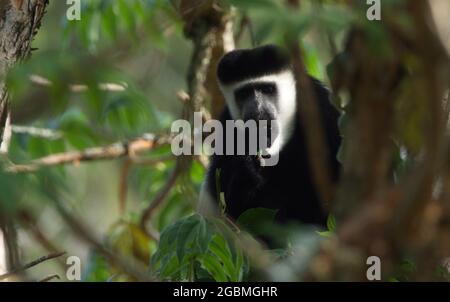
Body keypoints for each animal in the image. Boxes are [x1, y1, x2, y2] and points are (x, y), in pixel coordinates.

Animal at [198, 44, 342, 236]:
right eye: (243, 94)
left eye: (267, 89)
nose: (257, 110)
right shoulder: (227, 127)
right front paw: (245, 172)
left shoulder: (322, 109)